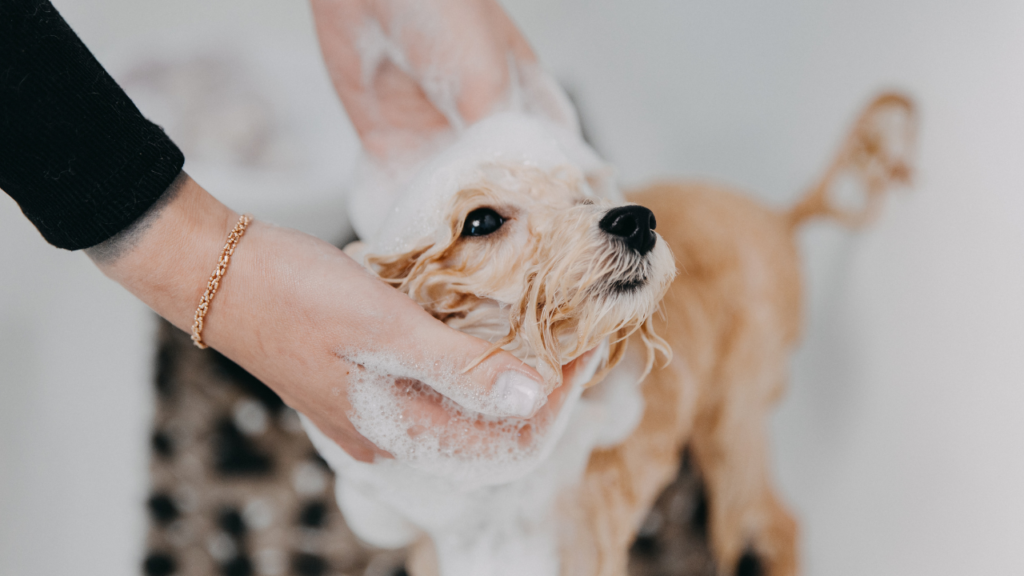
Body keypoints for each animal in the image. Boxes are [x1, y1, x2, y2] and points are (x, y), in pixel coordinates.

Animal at [301, 87, 913, 569]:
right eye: (480, 221)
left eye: (583, 198)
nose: (636, 219)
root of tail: (780, 218)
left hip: (734, 418)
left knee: (780, 522)